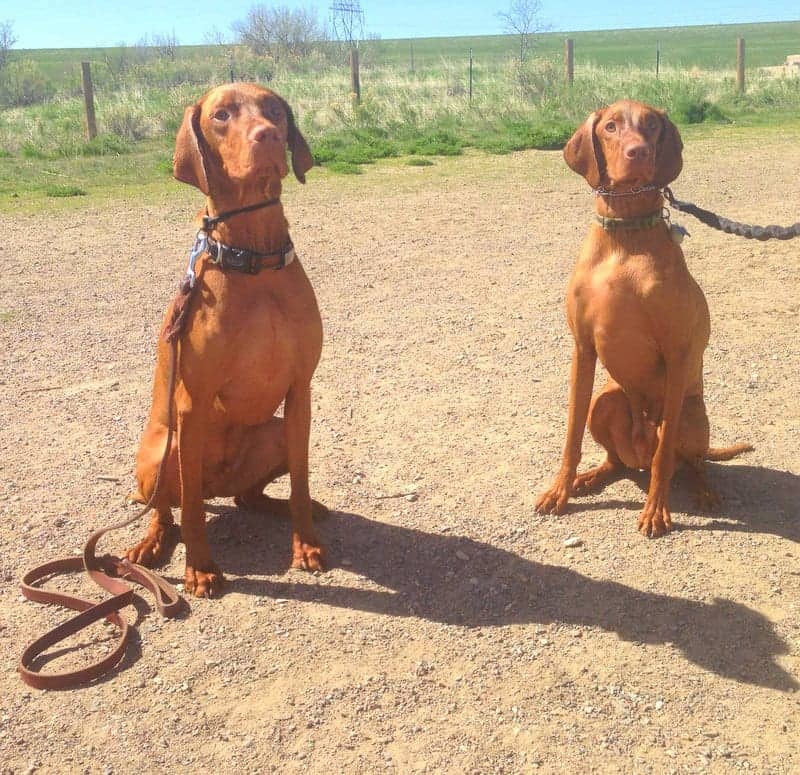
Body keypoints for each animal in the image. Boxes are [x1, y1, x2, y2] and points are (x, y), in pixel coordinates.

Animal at [125, 83, 324, 596]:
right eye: (221, 115)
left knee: (249, 497)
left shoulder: (301, 390)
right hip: (164, 447)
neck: (254, 257)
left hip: (273, 432)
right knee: (167, 507)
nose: (269, 135)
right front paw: (200, 569)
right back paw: (151, 543)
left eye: (274, 109)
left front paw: (306, 544)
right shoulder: (191, 403)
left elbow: (301, 481)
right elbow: (192, 511)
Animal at [536, 100, 752, 536]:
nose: (640, 152)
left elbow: (664, 455)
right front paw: (560, 490)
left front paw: (655, 510)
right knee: (617, 460)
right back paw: (591, 477)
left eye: (652, 125)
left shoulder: (677, 353)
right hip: (605, 399)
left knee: (688, 461)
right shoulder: (582, 348)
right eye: (610, 126)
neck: (625, 234)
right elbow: (570, 436)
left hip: (691, 414)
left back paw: (703, 491)